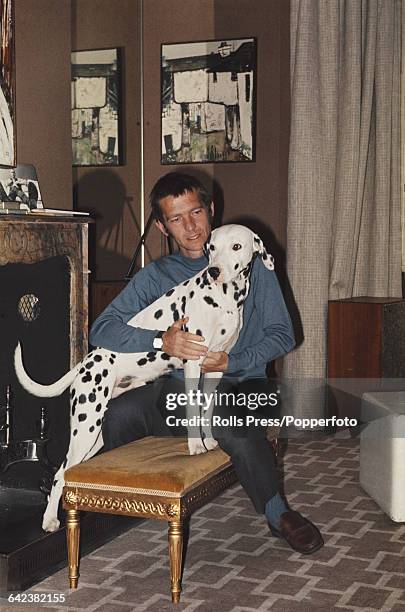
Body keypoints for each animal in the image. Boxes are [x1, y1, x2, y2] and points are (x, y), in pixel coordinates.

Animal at [15, 225, 274, 532]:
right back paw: (50, 520)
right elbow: (193, 410)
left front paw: (209, 441)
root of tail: (84, 364)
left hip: (94, 438)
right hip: (85, 426)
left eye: (236, 246)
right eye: (211, 248)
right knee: (58, 475)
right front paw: (195, 445)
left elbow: (207, 411)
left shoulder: (215, 367)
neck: (225, 299)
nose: (214, 271)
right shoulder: (193, 363)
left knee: (68, 472)